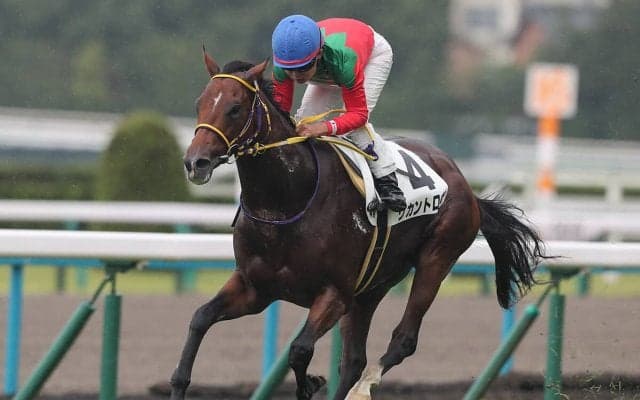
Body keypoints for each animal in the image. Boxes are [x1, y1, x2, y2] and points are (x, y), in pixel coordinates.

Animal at [171, 51, 547, 400]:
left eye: (234, 108)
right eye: (199, 103)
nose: (195, 162)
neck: (287, 201)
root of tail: (466, 185)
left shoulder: (334, 293)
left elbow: (300, 350)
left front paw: (311, 383)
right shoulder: (256, 288)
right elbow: (200, 318)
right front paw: (179, 383)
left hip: (436, 258)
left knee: (402, 340)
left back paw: (365, 386)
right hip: (372, 285)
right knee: (354, 359)